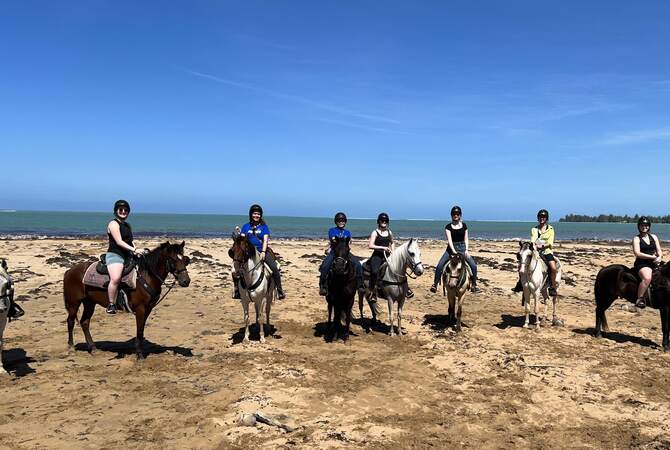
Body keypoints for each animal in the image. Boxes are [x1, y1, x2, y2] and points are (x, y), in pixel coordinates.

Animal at [63, 241, 192, 360]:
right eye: (172, 259)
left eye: (185, 259)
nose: (186, 281)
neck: (146, 276)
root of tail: (70, 271)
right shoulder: (140, 309)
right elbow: (139, 331)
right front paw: (139, 355)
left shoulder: (148, 309)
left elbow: (141, 331)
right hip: (73, 303)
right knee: (71, 322)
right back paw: (71, 347)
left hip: (89, 303)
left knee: (85, 322)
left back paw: (93, 348)